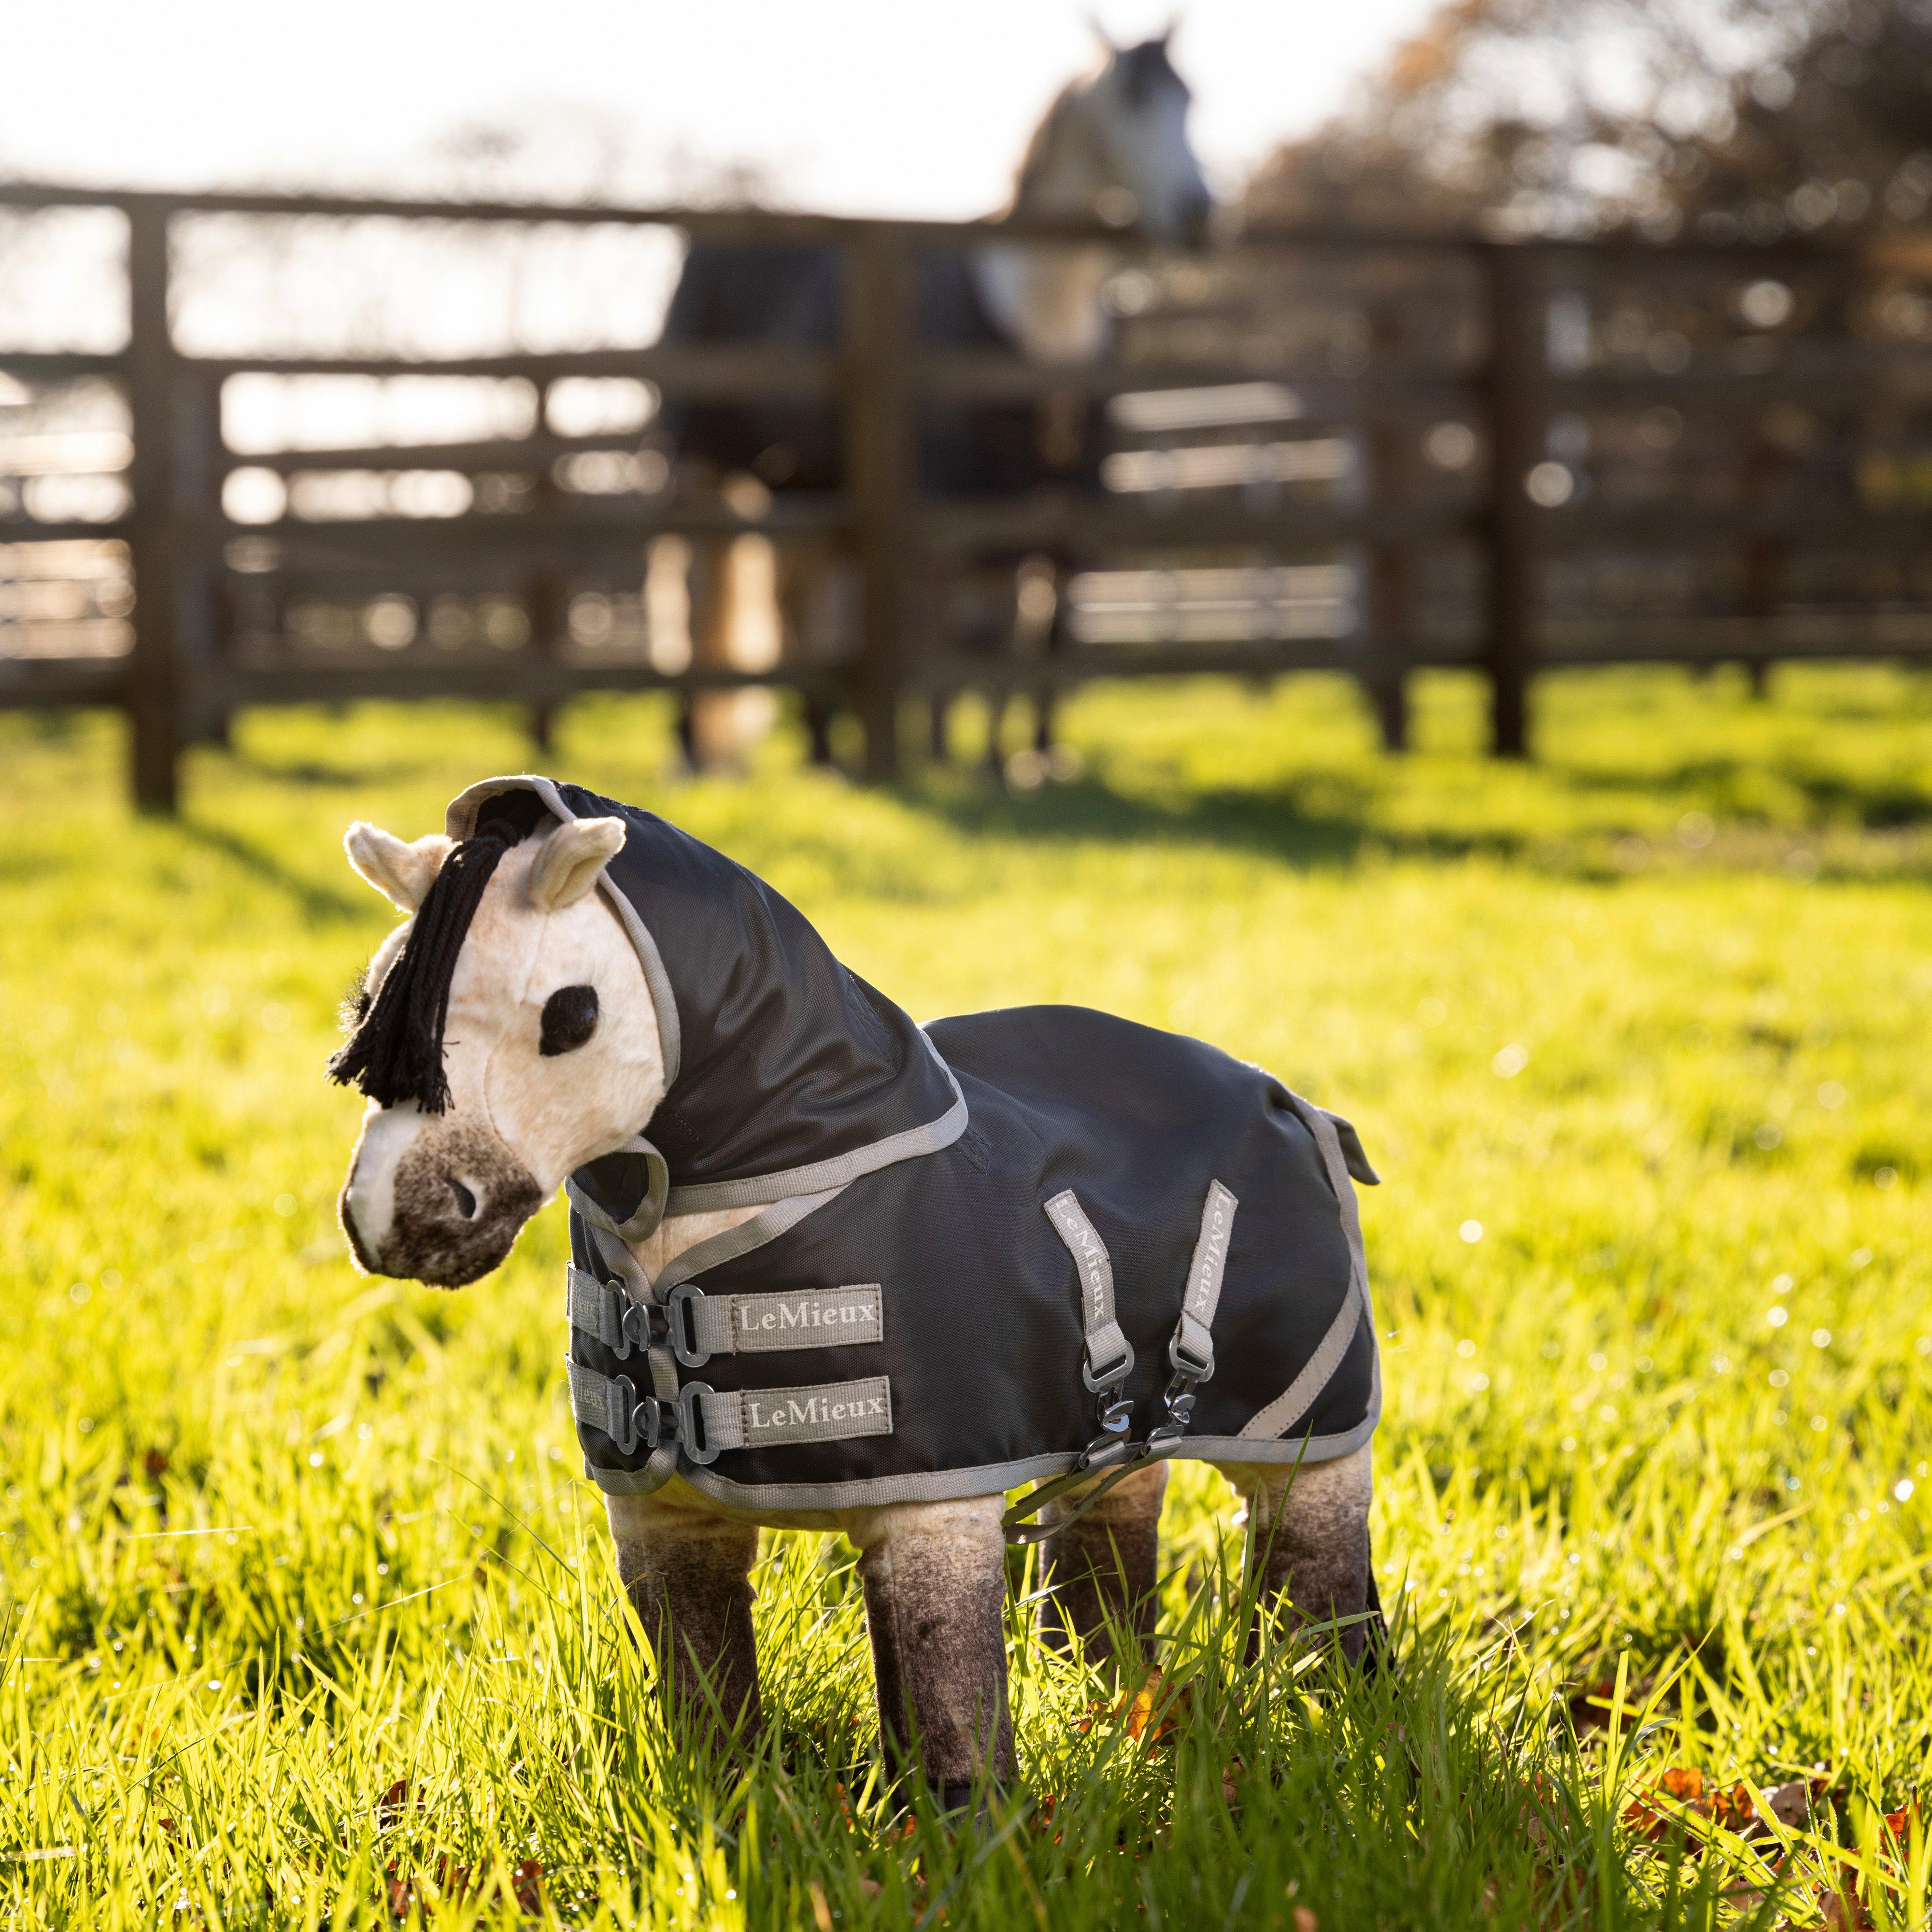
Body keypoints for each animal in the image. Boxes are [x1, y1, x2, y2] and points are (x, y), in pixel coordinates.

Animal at [330, 780, 1384, 1809]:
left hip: (1307, 1429)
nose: (400, 1218)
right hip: (1121, 1435)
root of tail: (1289, 1100)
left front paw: (965, 1830)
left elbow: (943, 1693)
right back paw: (1105, 1688)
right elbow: (705, 1685)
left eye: (571, 1015)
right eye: (370, 1003)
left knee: (1315, 1564)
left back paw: (1330, 1705)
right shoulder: (663, 1511)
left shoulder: (931, 1505)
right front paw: (726, 1796)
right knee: (1111, 1531)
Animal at [658, 28, 1214, 770]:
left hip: (805, 486)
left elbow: (1047, 624)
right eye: (1133, 97)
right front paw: (961, 753)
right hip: (700, 465)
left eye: (1190, 96)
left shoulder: (1065, 499)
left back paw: (821, 745)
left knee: (798, 603)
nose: (1201, 212)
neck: (1042, 324)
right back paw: (693, 746)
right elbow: (970, 628)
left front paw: (1033, 752)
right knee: (692, 594)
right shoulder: (959, 500)